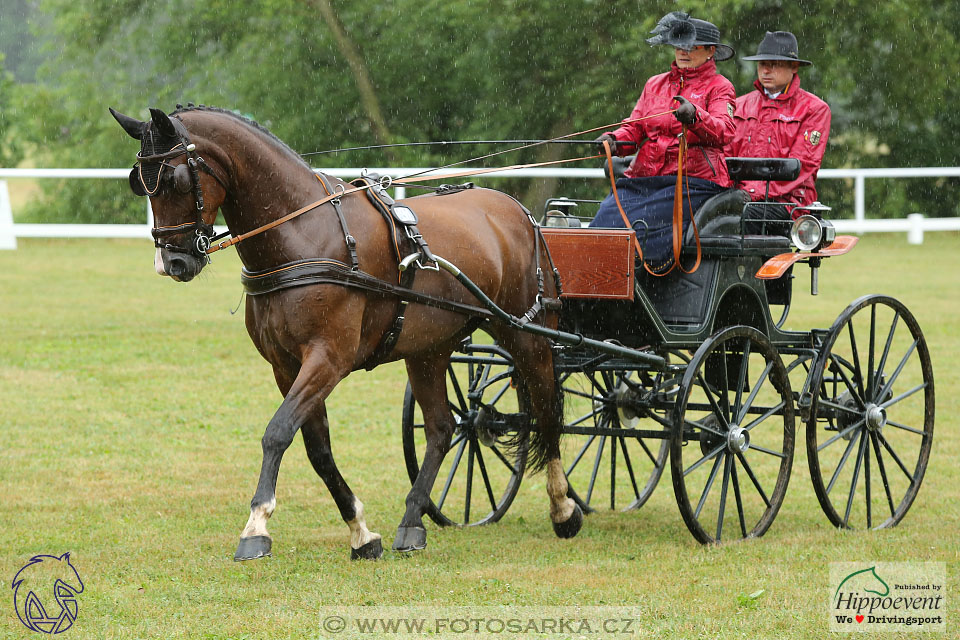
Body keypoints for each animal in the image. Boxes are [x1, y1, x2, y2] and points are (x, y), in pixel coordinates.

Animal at [109, 106, 580, 560]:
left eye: (173, 178)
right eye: (140, 184)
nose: (172, 264)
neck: (302, 234)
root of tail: (519, 212)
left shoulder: (328, 359)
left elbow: (277, 432)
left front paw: (256, 526)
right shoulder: (287, 366)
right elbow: (317, 449)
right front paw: (360, 531)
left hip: (525, 334)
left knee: (546, 410)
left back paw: (563, 508)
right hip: (429, 350)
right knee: (443, 428)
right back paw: (412, 521)